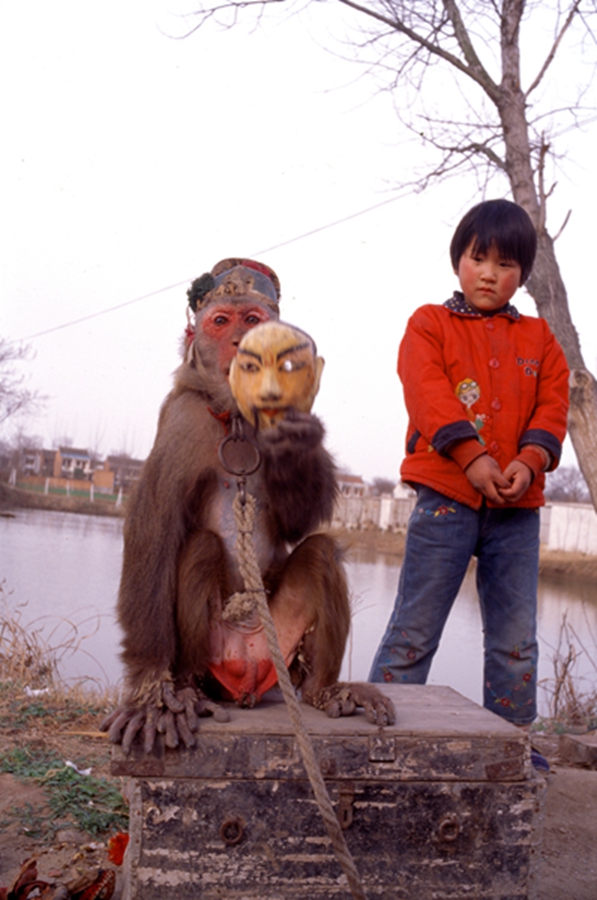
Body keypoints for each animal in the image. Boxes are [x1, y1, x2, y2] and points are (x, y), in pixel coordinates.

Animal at [101, 258, 395, 754]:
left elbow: (299, 523)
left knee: (320, 553)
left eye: (252, 320)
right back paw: (188, 691)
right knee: (199, 547)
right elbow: (154, 529)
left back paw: (324, 689)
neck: (235, 416)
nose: (242, 345)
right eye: (221, 322)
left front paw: (295, 439)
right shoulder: (182, 421)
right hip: (216, 657)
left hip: (283, 650)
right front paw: (150, 693)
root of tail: (250, 677)